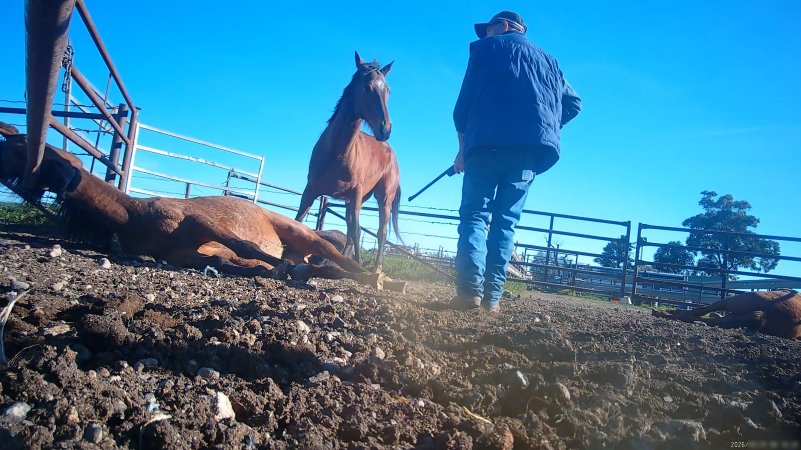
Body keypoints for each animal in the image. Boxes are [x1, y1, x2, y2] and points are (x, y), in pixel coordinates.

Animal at [0, 123, 407, 293]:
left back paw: (382, 278)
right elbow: (240, 263)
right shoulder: (195, 255)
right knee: (319, 265)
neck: (136, 215)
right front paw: (281, 271)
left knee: (337, 257)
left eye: (19, 146)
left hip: (301, 233)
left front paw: (283, 270)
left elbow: (249, 248)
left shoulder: (203, 222)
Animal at [295, 52, 402, 273]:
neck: (337, 153)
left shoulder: (356, 193)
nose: (385, 129)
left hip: (383, 198)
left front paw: (358, 267)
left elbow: (356, 229)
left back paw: (375, 267)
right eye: (367, 87)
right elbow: (299, 219)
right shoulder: (310, 190)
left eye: (388, 91)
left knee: (380, 231)